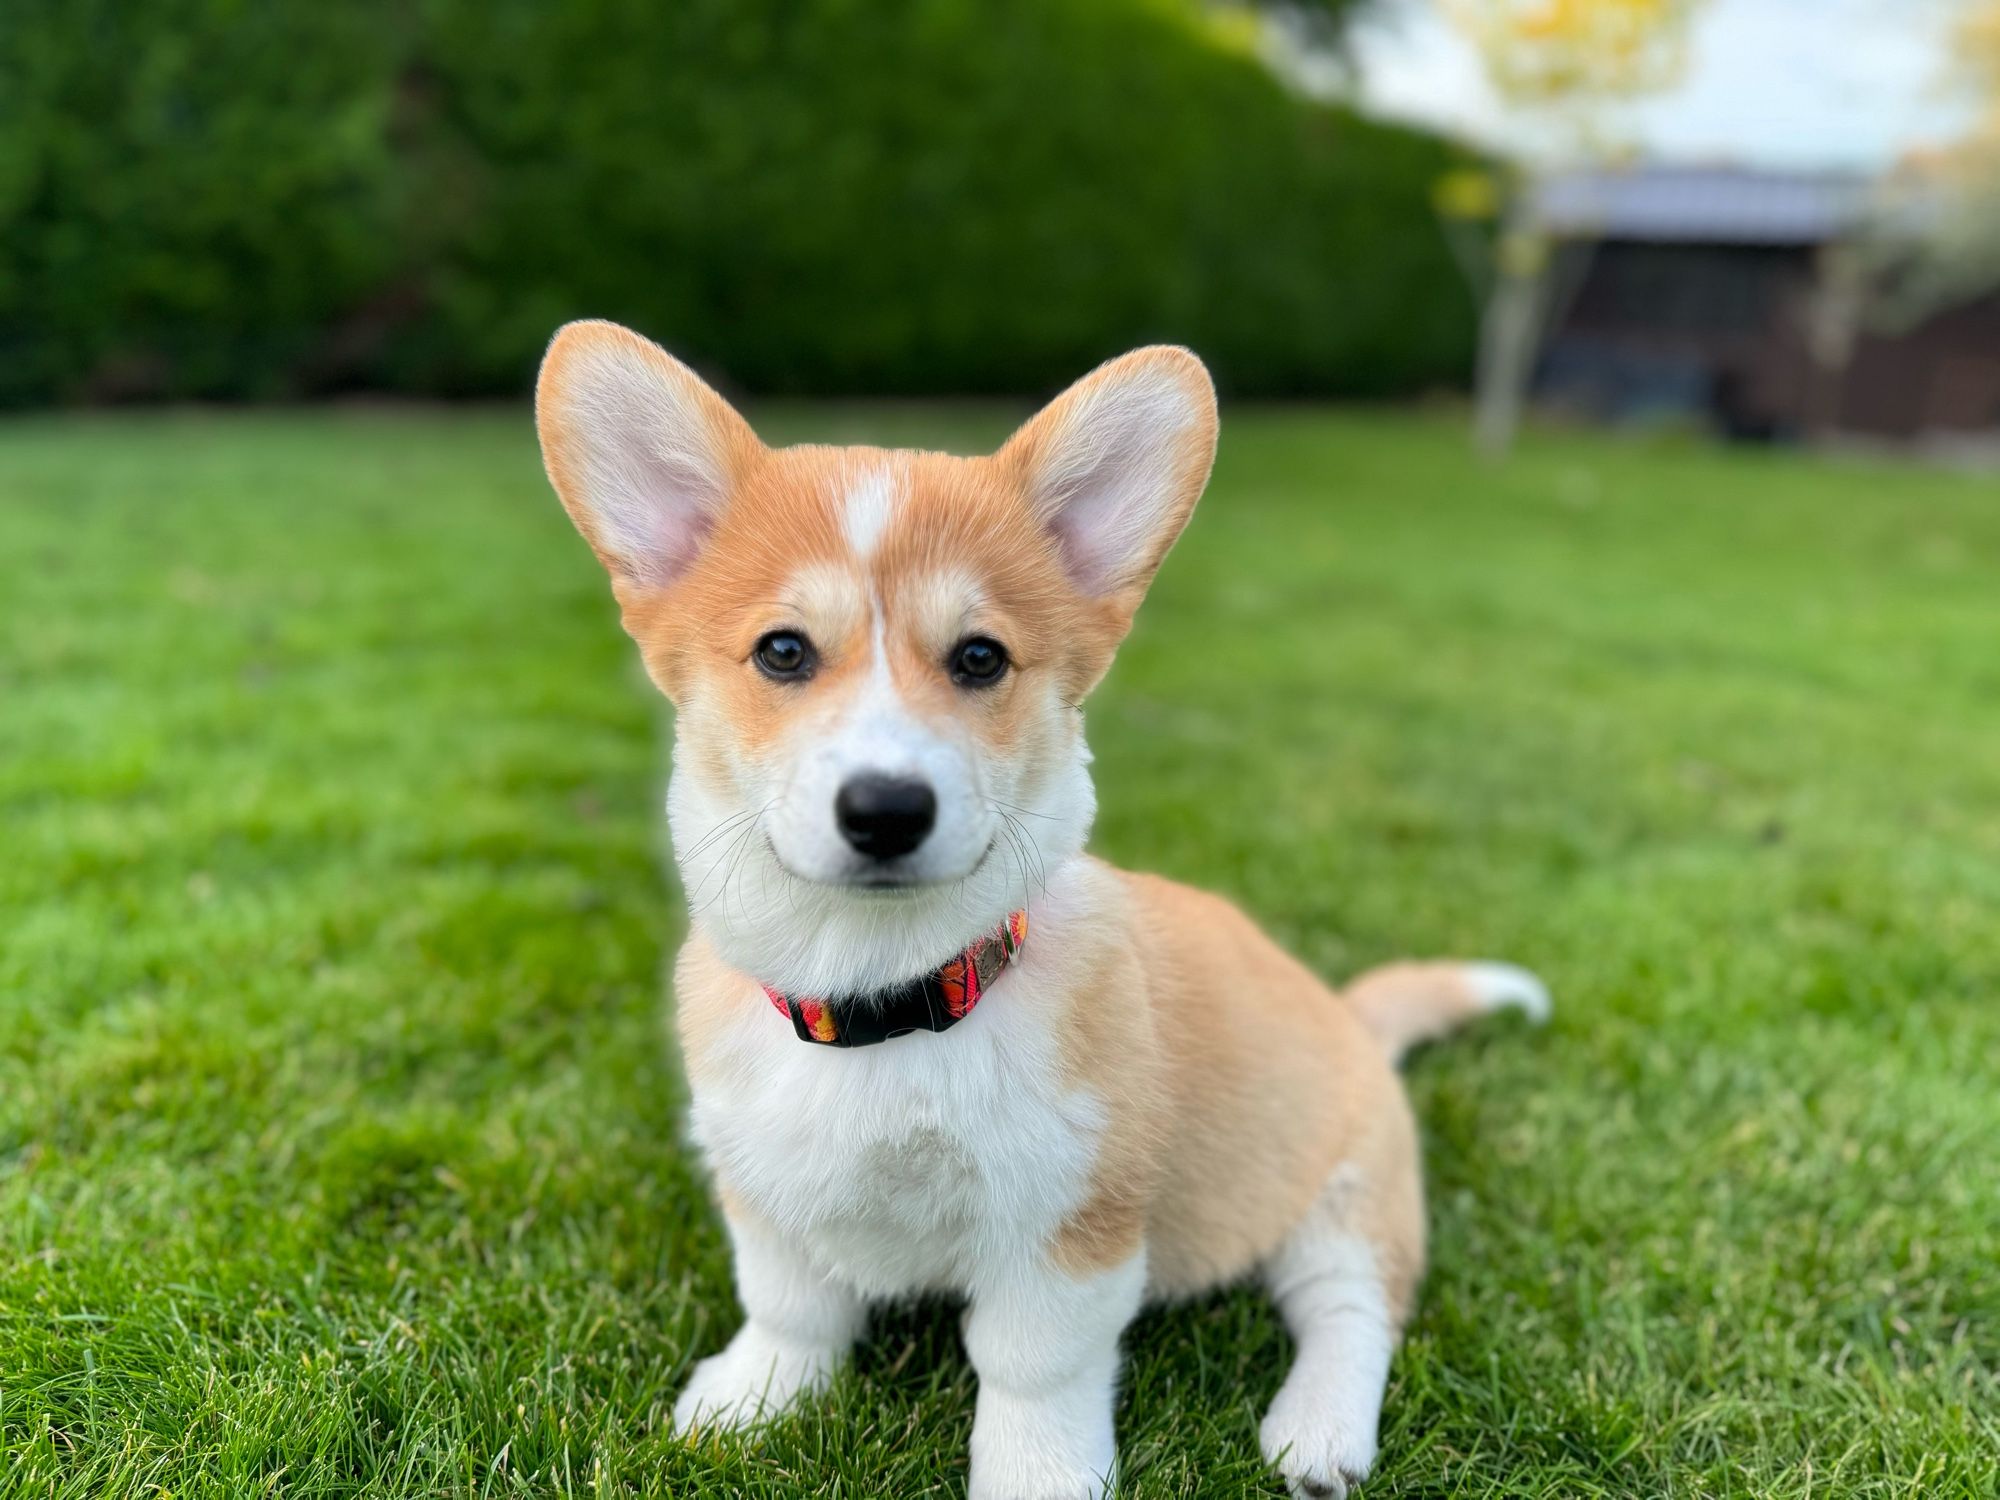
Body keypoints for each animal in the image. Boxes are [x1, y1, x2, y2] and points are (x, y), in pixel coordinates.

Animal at [532, 324, 1544, 1496]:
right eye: (783, 650)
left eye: (980, 658)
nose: (886, 809)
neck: (883, 994)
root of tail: (1349, 1012)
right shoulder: (767, 1188)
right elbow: (788, 1306)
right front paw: (751, 1401)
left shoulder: (1066, 1225)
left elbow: (1028, 1367)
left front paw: (1034, 1474)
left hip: (1336, 1193)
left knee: (1351, 1309)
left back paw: (1318, 1432)